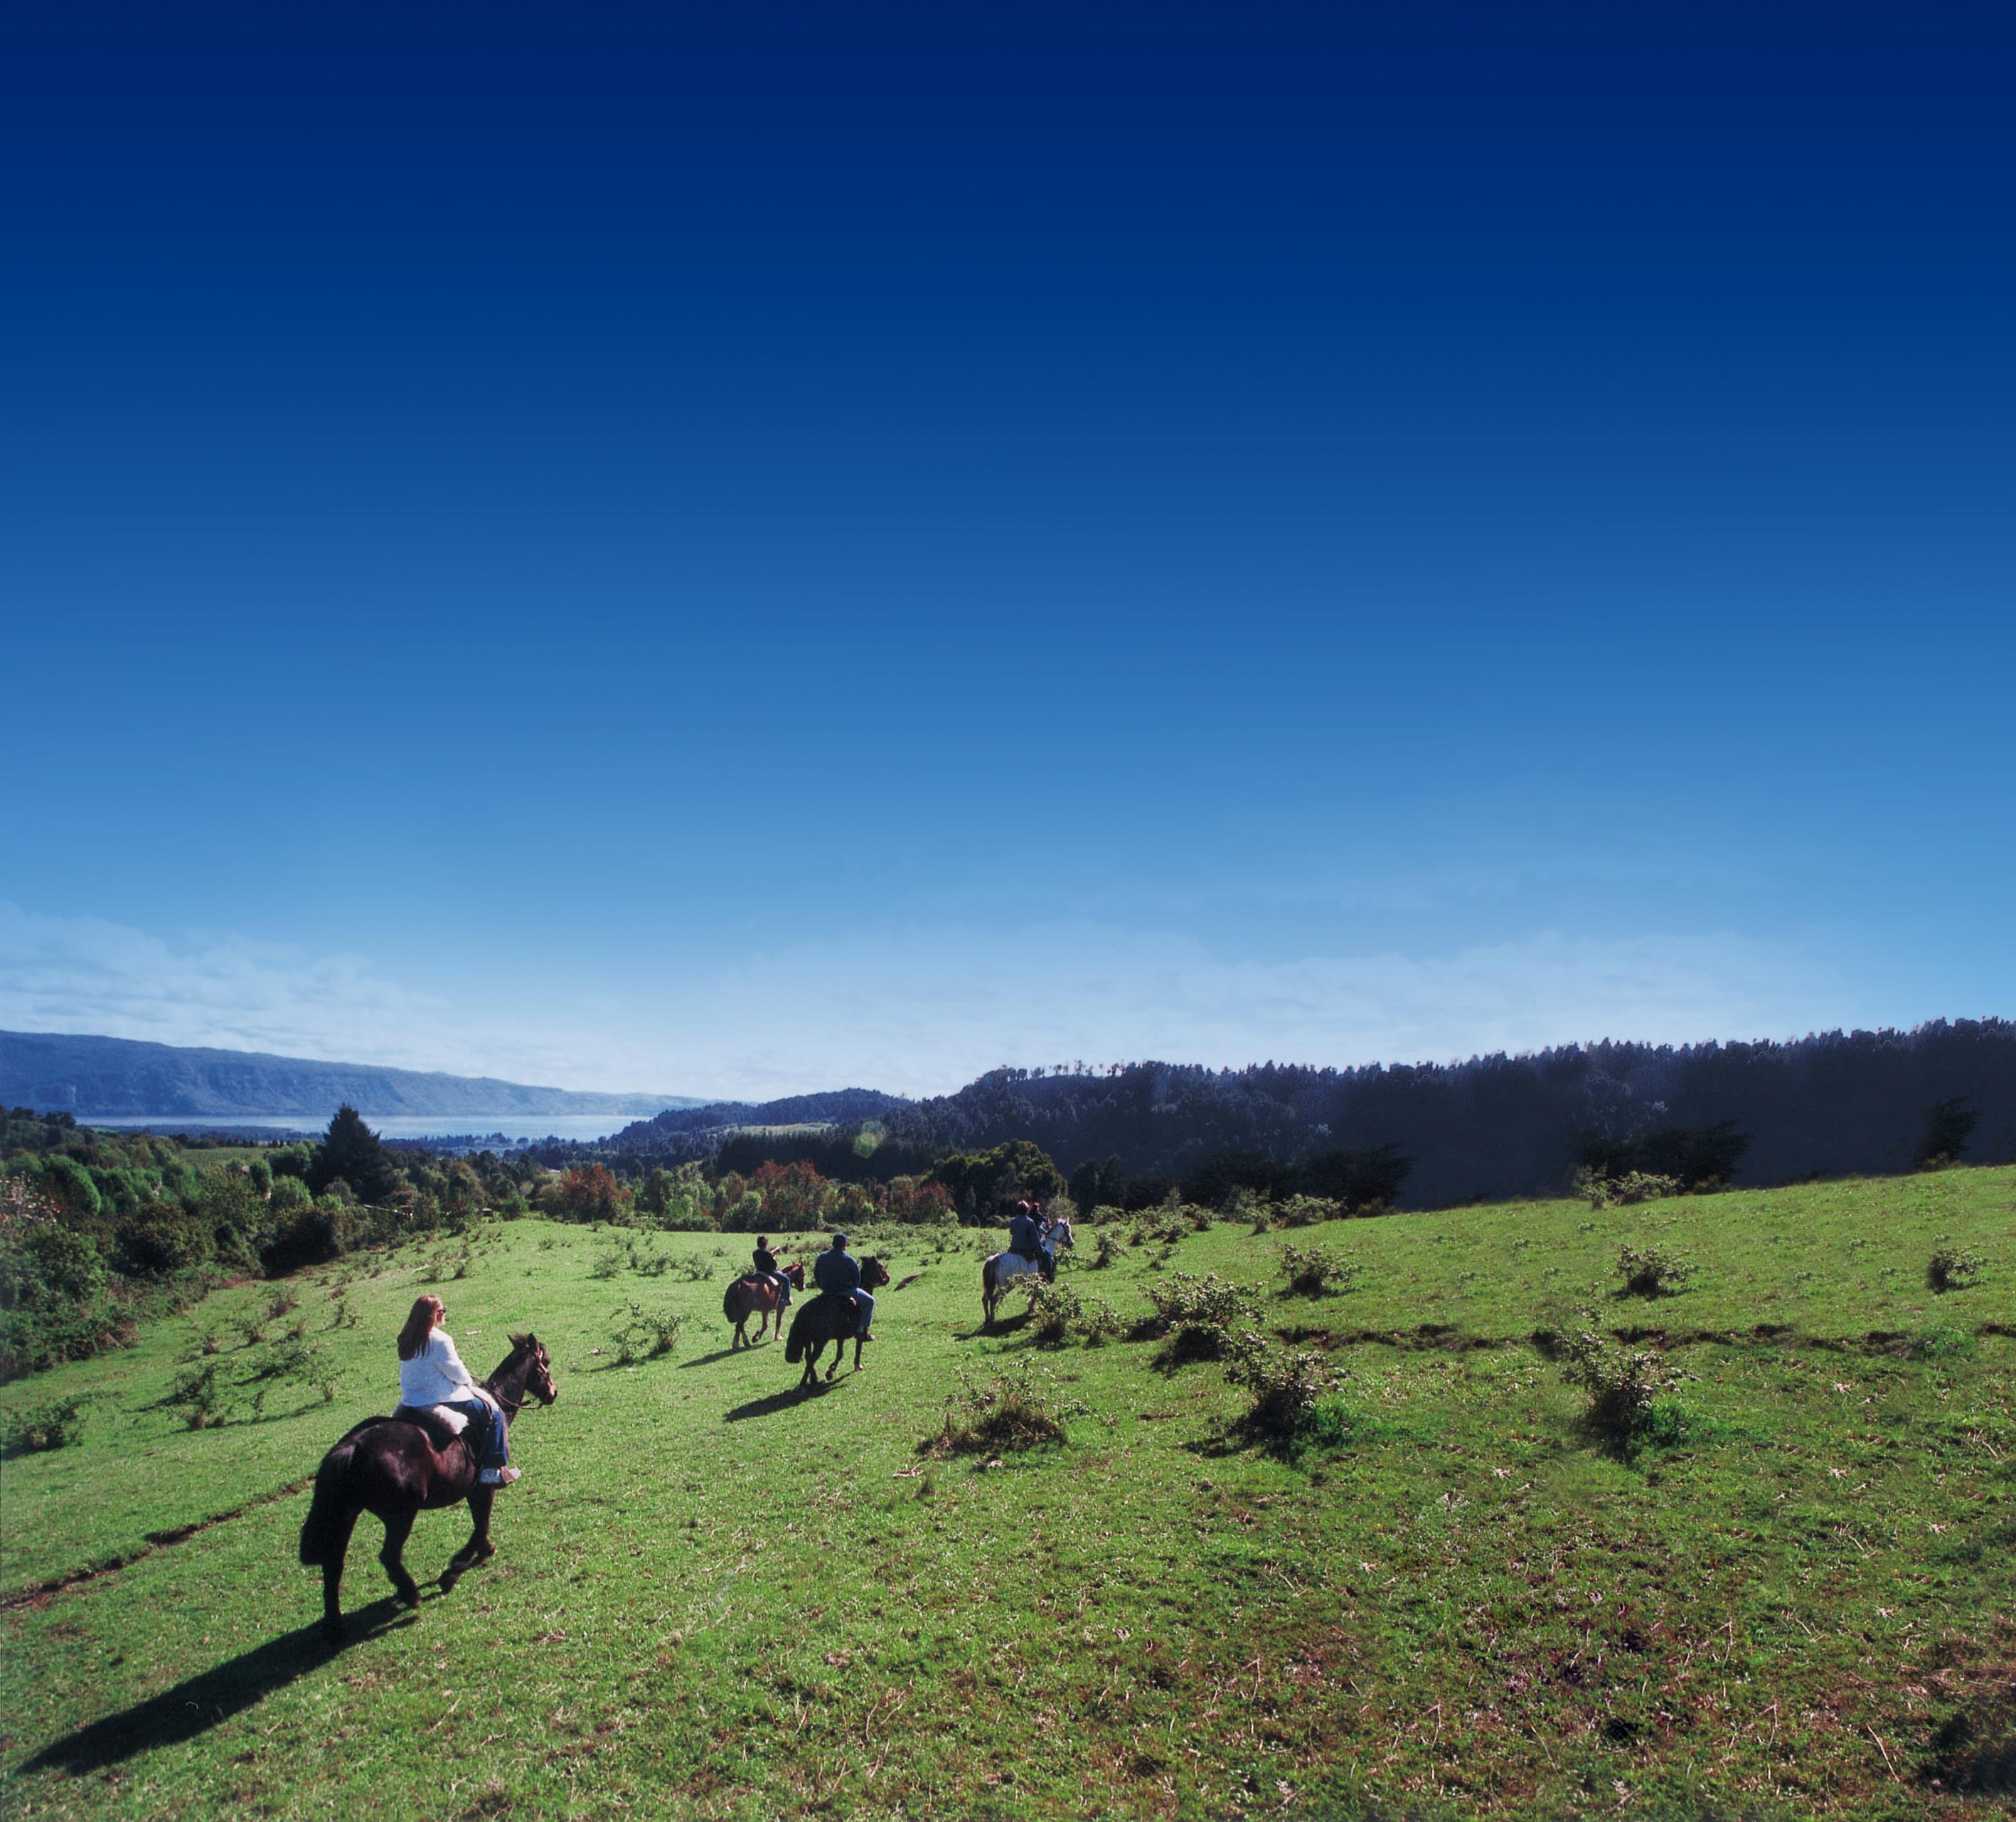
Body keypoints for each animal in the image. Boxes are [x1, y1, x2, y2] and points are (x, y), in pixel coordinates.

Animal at [294, 1330, 560, 1644]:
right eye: (545, 1361)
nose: (553, 1393)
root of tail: (352, 1447)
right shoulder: (484, 1486)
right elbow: (481, 1523)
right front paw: (456, 1569)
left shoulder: (474, 1490)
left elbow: (480, 1523)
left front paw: (480, 1552)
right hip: (400, 1515)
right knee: (388, 1556)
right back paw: (410, 1595)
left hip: (347, 1515)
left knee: (334, 1565)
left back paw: (335, 1626)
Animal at [782, 1257, 887, 1386]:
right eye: (880, 1266)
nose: (887, 1278)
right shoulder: (859, 1334)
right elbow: (856, 1349)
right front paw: (852, 1367)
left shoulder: (840, 1337)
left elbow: (840, 1354)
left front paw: (830, 1371)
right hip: (820, 1342)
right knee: (812, 1359)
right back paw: (804, 1382)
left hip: (809, 1342)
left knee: (808, 1358)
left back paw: (813, 1379)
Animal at [976, 1225, 1072, 1322]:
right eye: (1067, 1229)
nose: (1071, 1243)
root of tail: (994, 1259)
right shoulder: (1040, 1280)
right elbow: (1036, 1294)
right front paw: (1031, 1309)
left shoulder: (1035, 1281)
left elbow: (1035, 1293)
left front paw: (1030, 1308)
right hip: (1006, 1286)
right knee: (993, 1299)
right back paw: (992, 1318)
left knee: (985, 1299)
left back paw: (987, 1318)